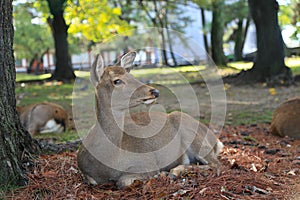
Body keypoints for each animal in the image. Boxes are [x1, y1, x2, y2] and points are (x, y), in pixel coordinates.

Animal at [77, 51, 223, 188]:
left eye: (131, 75)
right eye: (117, 80)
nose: (154, 92)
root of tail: (216, 140)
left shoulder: (147, 163)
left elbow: (123, 182)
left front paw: (159, 174)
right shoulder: (86, 174)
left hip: (195, 137)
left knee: (216, 164)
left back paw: (173, 172)